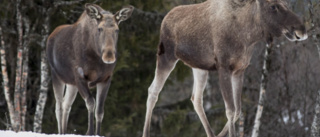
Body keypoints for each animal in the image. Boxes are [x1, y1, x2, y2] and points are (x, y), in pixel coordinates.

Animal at [46, 3, 134, 135]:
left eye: (117, 30)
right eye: (100, 29)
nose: (109, 56)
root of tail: (50, 36)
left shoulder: (105, 79)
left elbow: (100, 110)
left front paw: (97, 133)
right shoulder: (80, 76)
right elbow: (91, 103)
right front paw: (90, 132)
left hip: (71, 84)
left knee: (67, 104)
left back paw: (65, 131)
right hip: (56, 75)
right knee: (59, 107)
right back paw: (61, 132)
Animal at [142, 0, 308, 137]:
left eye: (287, 3)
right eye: (273, 6)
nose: (302, 30)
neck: (248, 37)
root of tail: (164, 19)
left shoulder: (239, 70)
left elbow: (238, 110)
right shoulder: (224, 67)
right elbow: (230, 110)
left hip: (199, 68)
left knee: (196, 99)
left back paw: (211, 134)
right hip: (166, 57)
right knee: (153, 91)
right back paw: (146, 133)